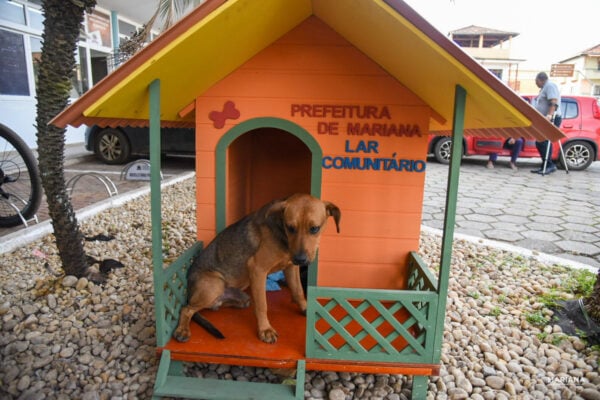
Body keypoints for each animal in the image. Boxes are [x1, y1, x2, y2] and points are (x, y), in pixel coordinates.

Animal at [175, 194, 342, 344]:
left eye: (314, 228)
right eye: (290, 228)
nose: (300, 259)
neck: (282, 236)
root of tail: (190, 291)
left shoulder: (290, 268)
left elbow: (298, 291)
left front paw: (306, 308)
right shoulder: (258, 269)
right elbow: (262, 305)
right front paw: (265, 330)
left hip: (240, 297)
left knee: (214, 306)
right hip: (215, 285)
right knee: (186, 309)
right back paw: (182, 330)